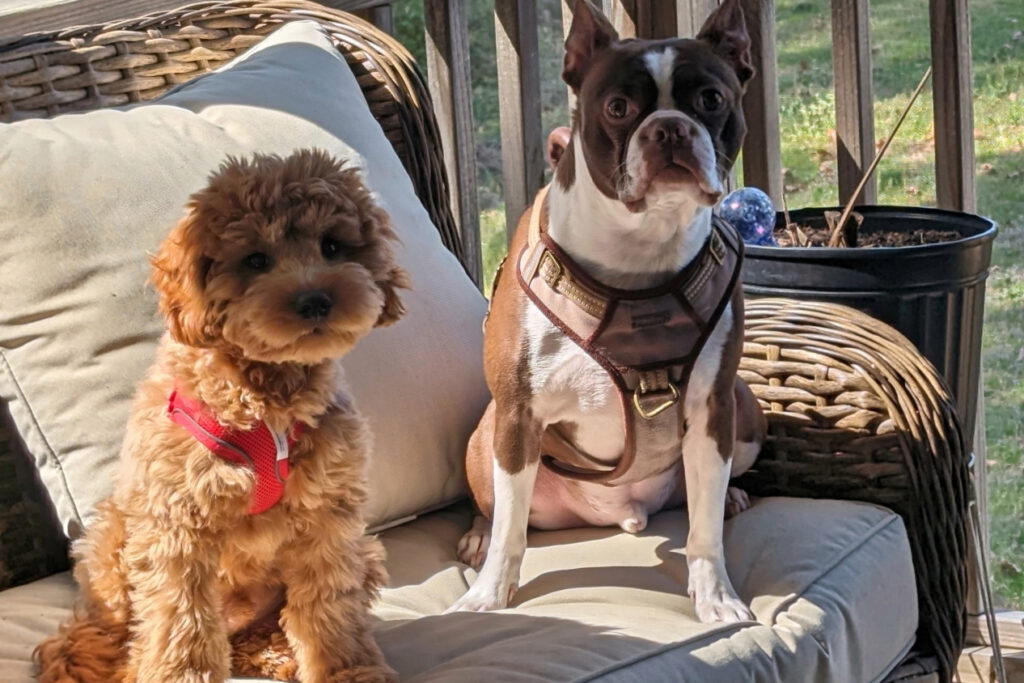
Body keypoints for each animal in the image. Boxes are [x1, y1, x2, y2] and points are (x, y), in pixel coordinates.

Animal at [37, 149, 409, 683]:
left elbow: (330, 605)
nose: (316, 300)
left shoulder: (328, 517)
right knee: (113, 638)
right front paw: (180, 676)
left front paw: (347, 670)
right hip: (110, 543)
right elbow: (181, 621)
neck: (268, 402)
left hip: (366, 551)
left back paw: (275, 655)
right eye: (254, 260)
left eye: (333, 246)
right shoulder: (176, 525)